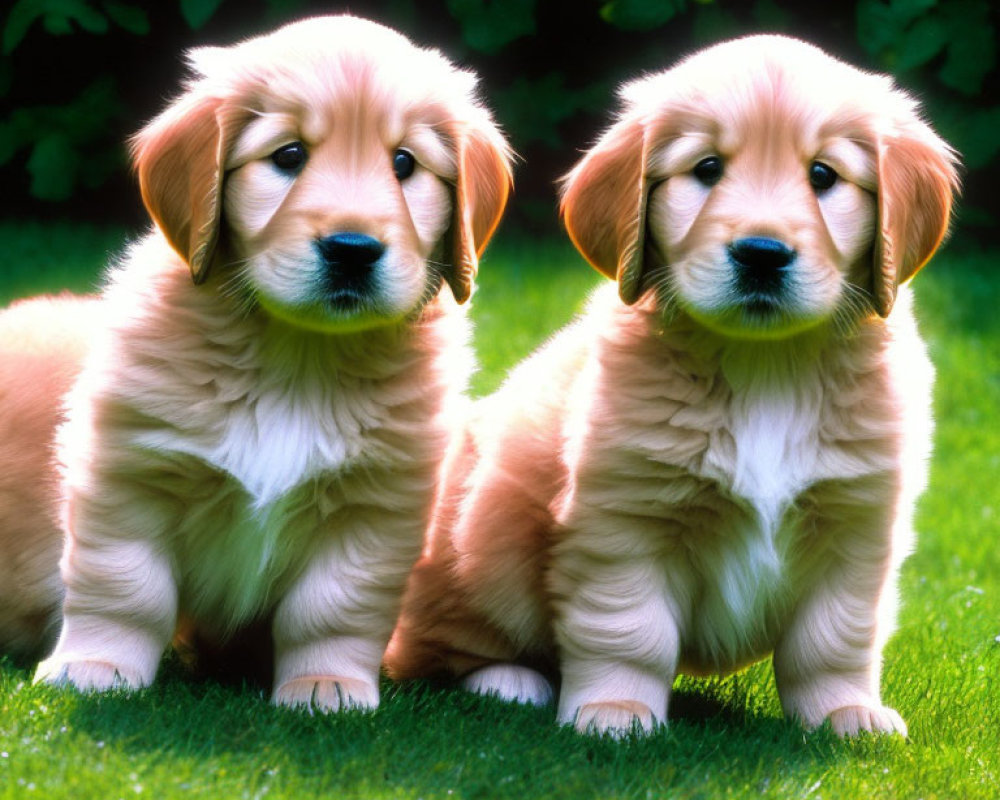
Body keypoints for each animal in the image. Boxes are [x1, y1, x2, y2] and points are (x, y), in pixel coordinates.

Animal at [29, 14, 516, 712]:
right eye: (288, 156)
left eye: (404, 163)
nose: (352, 249)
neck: (299, 356)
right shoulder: (130, 474)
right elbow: (123, 585)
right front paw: (97, 666)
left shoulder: (374, 510)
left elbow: (332, 607)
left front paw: (326, 685)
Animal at [386, 36, 956, 736]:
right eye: (707, 169)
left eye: (824, 176)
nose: (762, 254)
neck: (767, 366)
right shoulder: (625, 524)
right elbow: (630, 630)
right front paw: (616, 710)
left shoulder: (858, 528)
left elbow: (834, 639)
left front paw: (844, 713)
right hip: (481, 539)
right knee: (441, 647)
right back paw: (508, 681)